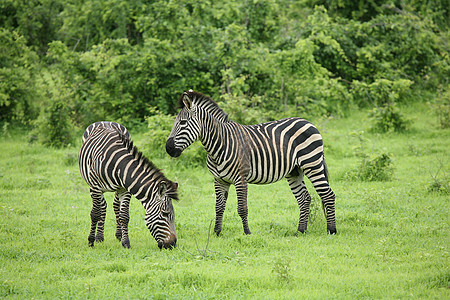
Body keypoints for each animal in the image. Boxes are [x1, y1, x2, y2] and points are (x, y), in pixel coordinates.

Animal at [167, 90, 336, 236]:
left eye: (183, 123)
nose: (168, 149)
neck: (220, 143)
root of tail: (308, 122)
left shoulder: (240, 178)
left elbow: (242, 208)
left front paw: (247, 232)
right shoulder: (219, 180)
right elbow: (219, 207)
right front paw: (217, 232)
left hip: (312, 164)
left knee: (328, 195)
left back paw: (331, 230)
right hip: (294, 171)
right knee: (305, 198)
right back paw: (300, 231)